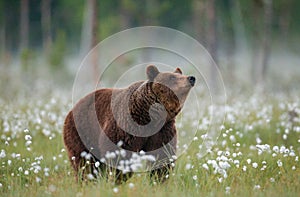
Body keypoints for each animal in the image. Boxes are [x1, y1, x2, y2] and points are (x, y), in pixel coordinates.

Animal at [62, 65, 195, 182]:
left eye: (179, 74)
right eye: (172, 77)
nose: (191, 78)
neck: (150, 117)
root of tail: (72, 109)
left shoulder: (162, 131)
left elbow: (162, 156)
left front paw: (158, 179)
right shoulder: (126, 127)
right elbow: (119, 153)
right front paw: (119, 177)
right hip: (82, 132)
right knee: (85, 162)